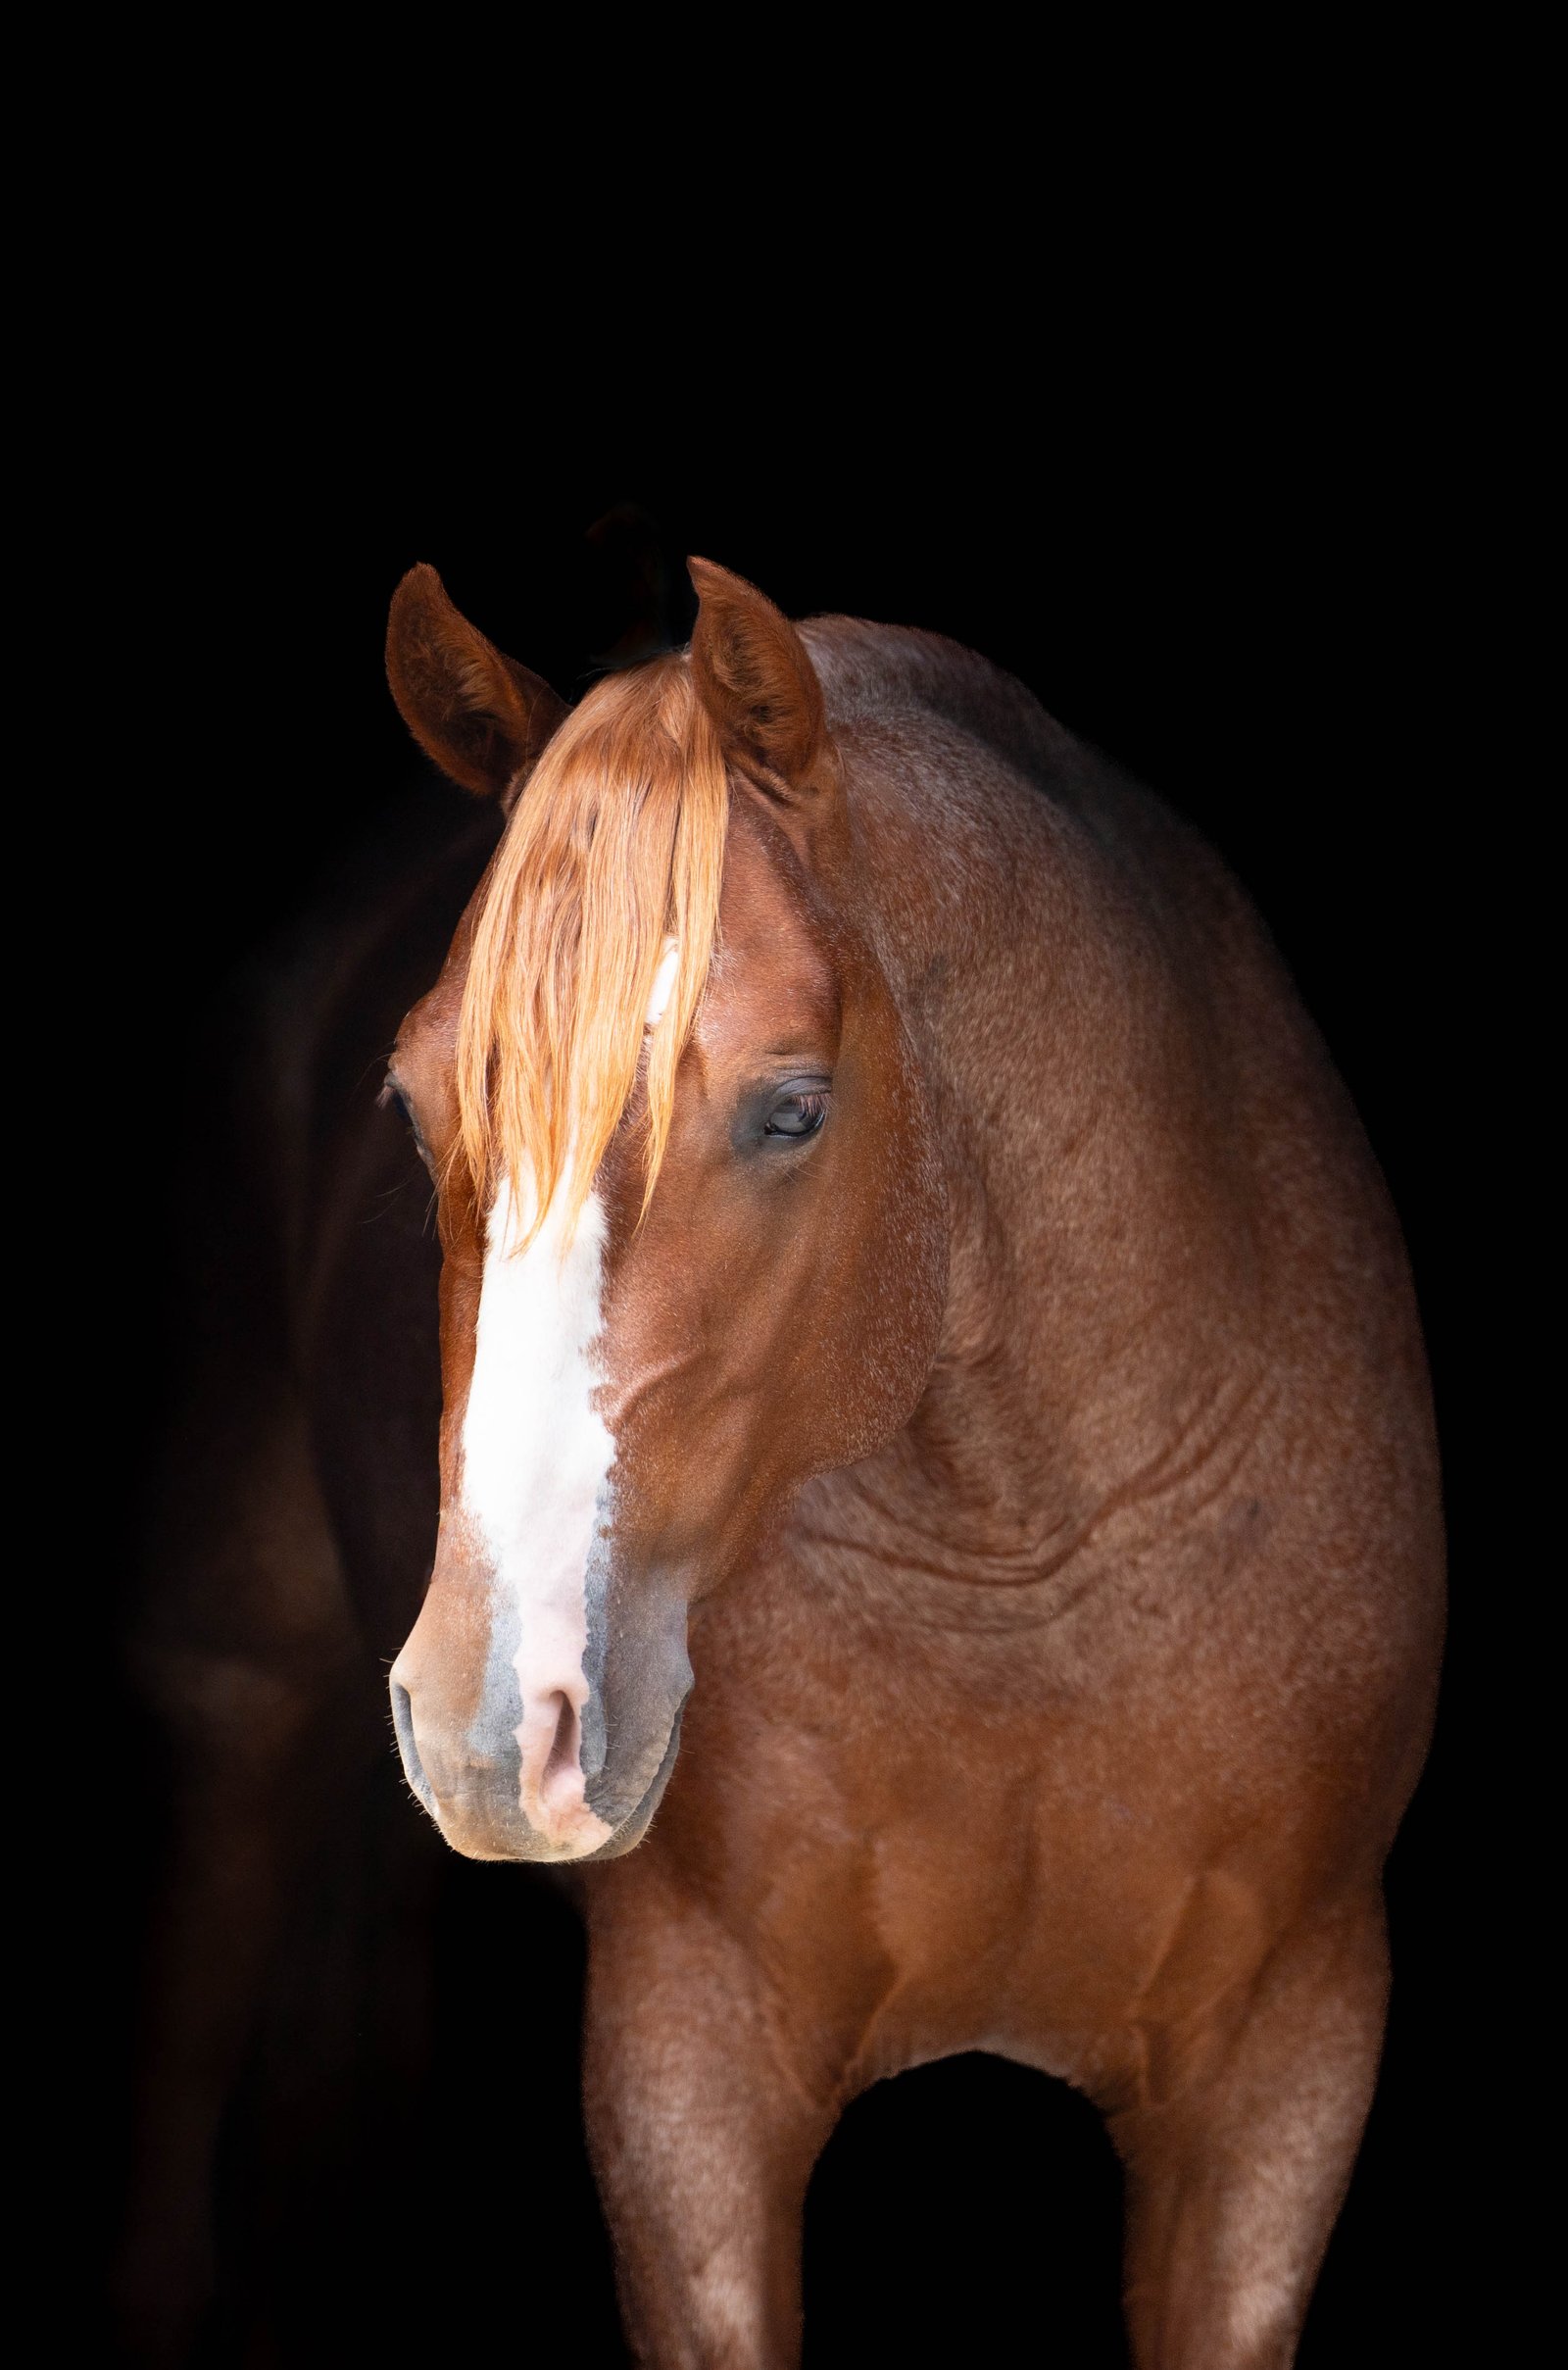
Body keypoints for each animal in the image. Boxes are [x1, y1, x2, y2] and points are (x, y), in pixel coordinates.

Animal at [122, 555, 1441, 2368]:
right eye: (410, 1102)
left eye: (794, 1107)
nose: (490, 1723)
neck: (1028, 1568)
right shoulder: (689, 2069)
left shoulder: (1283, 2071)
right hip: (239, 1676)